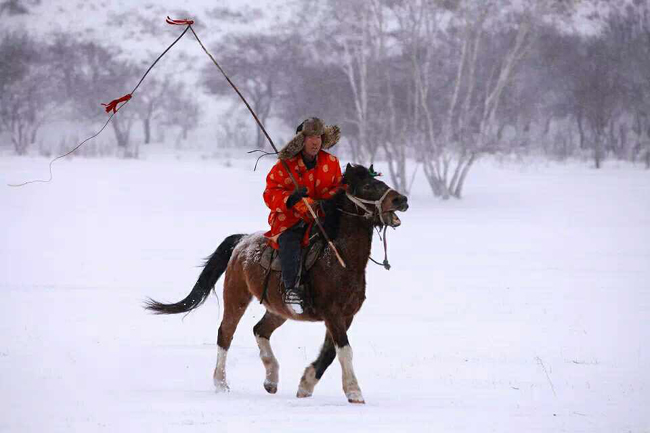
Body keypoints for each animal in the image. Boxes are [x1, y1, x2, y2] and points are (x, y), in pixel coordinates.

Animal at [146, 162, 408, 402]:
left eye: (380, 182)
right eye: (368, 186)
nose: (401, 199)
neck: (340, 258)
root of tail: (242, 240)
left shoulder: (345, 315)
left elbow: (329, 354)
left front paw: (305, 386)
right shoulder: (333, 313)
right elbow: (344, 351)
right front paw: (354, 392)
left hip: (279, 309)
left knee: (259, 330)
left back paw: (271, 380)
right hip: (236, 296)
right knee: (225, 334)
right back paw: (221, 383)